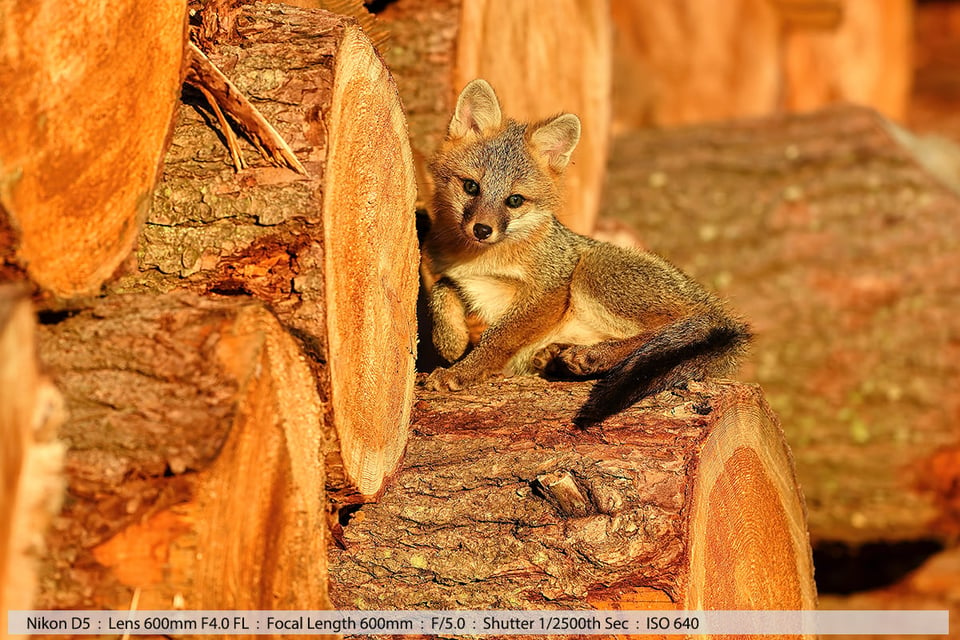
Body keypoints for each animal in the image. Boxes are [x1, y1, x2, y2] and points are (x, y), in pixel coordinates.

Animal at [422, 81, 752, 430]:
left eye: (514, 200)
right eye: (471, 187)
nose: (482, 230)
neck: (479, 258)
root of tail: (716, 309)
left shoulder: (551, 287)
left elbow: (498, 337)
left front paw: (462, 371)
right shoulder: (462, 278)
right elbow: (442, 289)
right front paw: (451, 340)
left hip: (594, 269)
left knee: (670, 330)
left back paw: (593, 355)